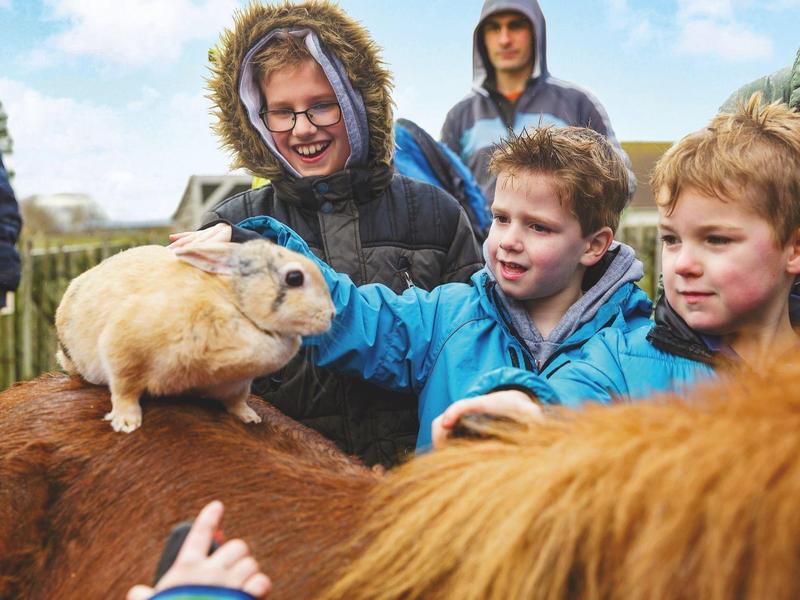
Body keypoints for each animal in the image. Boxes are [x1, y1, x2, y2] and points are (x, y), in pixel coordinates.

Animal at [55, 239, 335, 433]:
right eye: (295, 277)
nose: (331, 314)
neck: (236, 304)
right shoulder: (123, 349)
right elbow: (125, 390)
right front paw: (126, 422)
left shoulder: (237, 384)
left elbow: (237, 402)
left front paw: (250, 418)